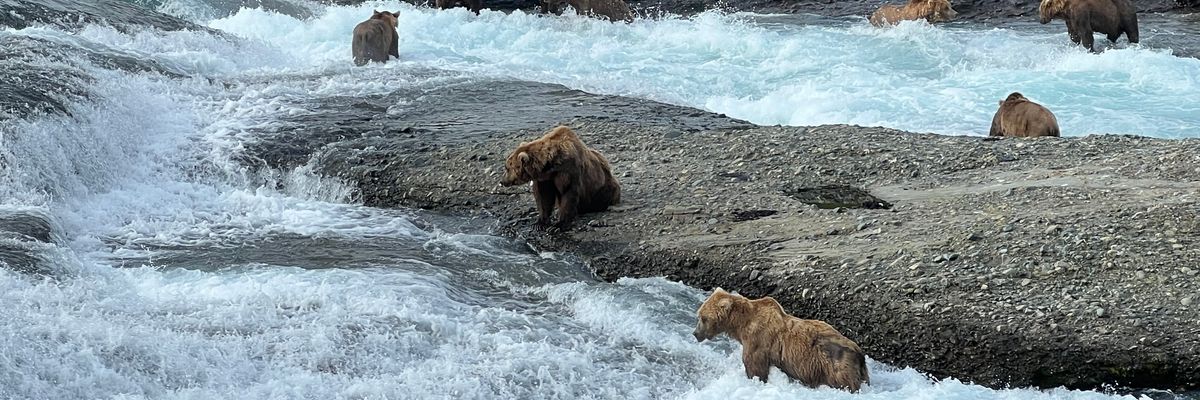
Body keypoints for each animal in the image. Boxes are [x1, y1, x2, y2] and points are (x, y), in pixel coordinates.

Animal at [693, 288, 870, 392]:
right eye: (699, 315)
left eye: (703, 318)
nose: (695, 333)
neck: (741, 325)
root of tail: (860, 353)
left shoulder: (758, 340)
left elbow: (755, 367)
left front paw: (755, 380)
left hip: (836, 368)